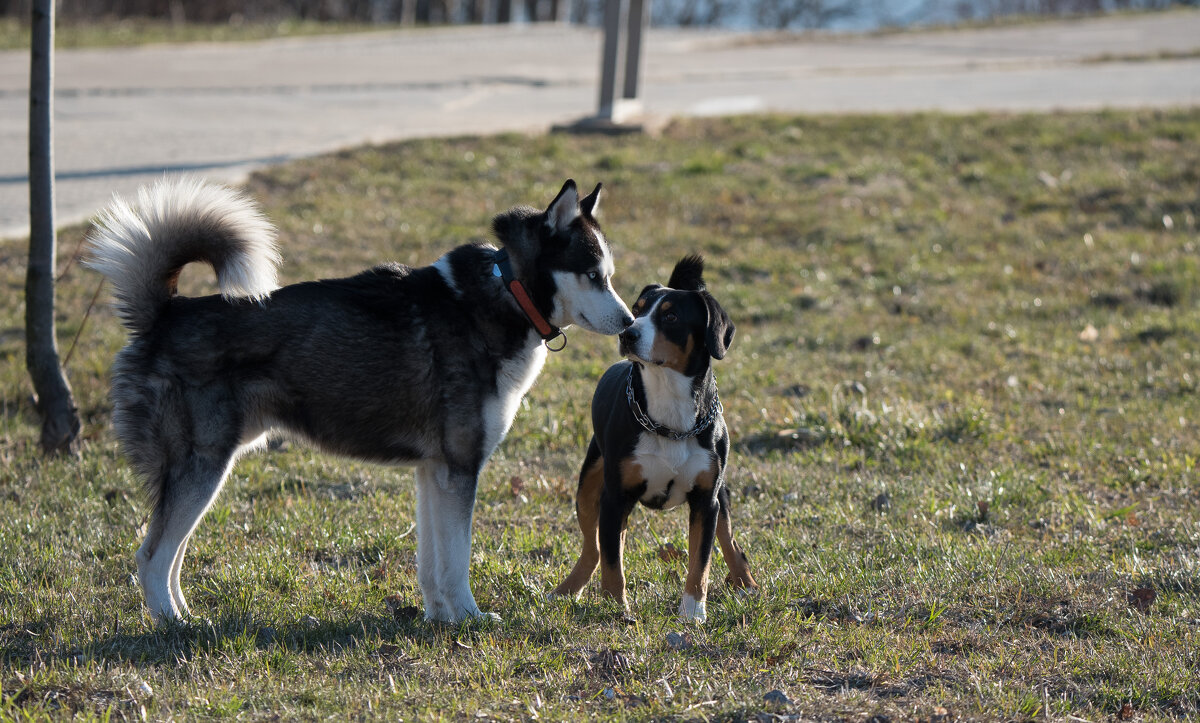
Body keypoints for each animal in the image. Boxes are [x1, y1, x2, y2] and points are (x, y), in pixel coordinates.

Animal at [87, 174, 633, 619]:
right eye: (593, 275)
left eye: (608, 275)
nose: (631, 324)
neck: (510, 295)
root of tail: (167, 312)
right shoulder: (460, 468)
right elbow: (457, 562)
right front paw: (472, 619)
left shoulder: (434, 471)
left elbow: (433, 564)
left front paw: (441, 619)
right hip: (202, 466)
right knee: (151, 556)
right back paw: (174, 626)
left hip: (204, 473)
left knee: (170, 554)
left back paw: (182, 613)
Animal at [554, 253, 758, 619]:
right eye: (637, 310)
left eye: (671, 316)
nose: (628, 332)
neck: (670, 420)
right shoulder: (616, 496)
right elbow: (612, 562)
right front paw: (616, 608)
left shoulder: (706, 499)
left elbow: (701, 560)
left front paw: (693, 612)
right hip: (589, 483)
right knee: (594, 548)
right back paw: (567, 589)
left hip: (721, 494)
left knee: (730, 541)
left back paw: (746, 583)